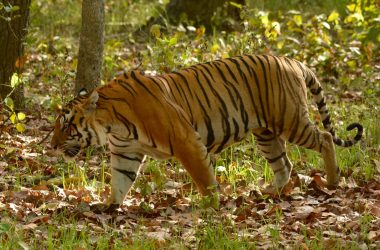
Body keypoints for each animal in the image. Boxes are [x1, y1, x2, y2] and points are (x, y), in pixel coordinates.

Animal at [50, 54, 362, 205]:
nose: (51, 146)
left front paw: (211, 206)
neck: (112, 124)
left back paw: (332, 181)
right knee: (284, 164)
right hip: (266, 133)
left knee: (324, 137)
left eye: (66, 125)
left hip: (290, 120)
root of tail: (292, 60)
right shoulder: (126, 153)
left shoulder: (186, 140)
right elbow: (119, 182)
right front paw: (109, 207)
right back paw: (267, 194)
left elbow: (204, 178)